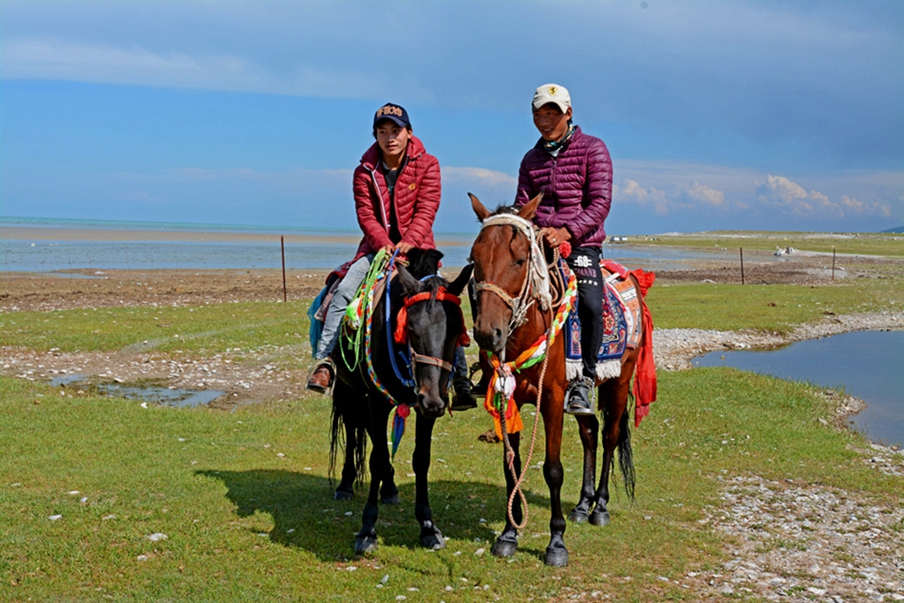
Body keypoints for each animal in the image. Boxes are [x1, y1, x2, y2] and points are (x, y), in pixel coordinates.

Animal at [330, 250, 474, 556]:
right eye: (411, 328)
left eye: (456, 330)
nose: (432, 399)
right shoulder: (377, 400)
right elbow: (377, 458)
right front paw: (367, 530)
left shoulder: (425, 410)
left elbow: (421, 459)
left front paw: (428, 527)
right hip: (350, 390)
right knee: (353, 429)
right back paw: (346, 485)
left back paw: (390, 488)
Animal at [470, 193, 652, 568]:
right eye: (474, 259)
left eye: (520, 259)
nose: (487, 333)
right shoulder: (507, 398)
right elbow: (512, 466)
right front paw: (508, 535)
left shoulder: (552, 398)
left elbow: (553, 469)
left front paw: (556, 542)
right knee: (590, 433)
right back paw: (582, 505)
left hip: (619, 382)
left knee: (610, 436)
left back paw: (599, 508)